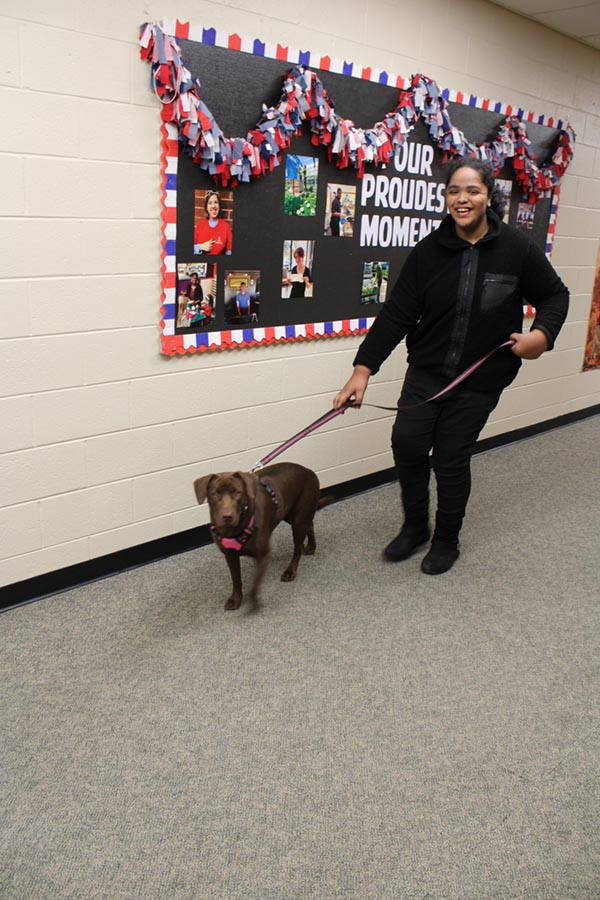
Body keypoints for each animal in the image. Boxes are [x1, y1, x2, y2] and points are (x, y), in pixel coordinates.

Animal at [193, 464, 332, 612]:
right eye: (215, 494)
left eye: (237, 492)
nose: (227, 516)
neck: (235, 529)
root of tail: (308, 470)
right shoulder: (230, 555)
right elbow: (236, 579)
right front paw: (235, 599)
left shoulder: (263, 555)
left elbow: (254, 585)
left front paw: (254, 603)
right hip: (288, 514)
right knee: (310, 524)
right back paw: (311, 546)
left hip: (298, 520)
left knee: (297, 548)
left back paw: (290, 571)